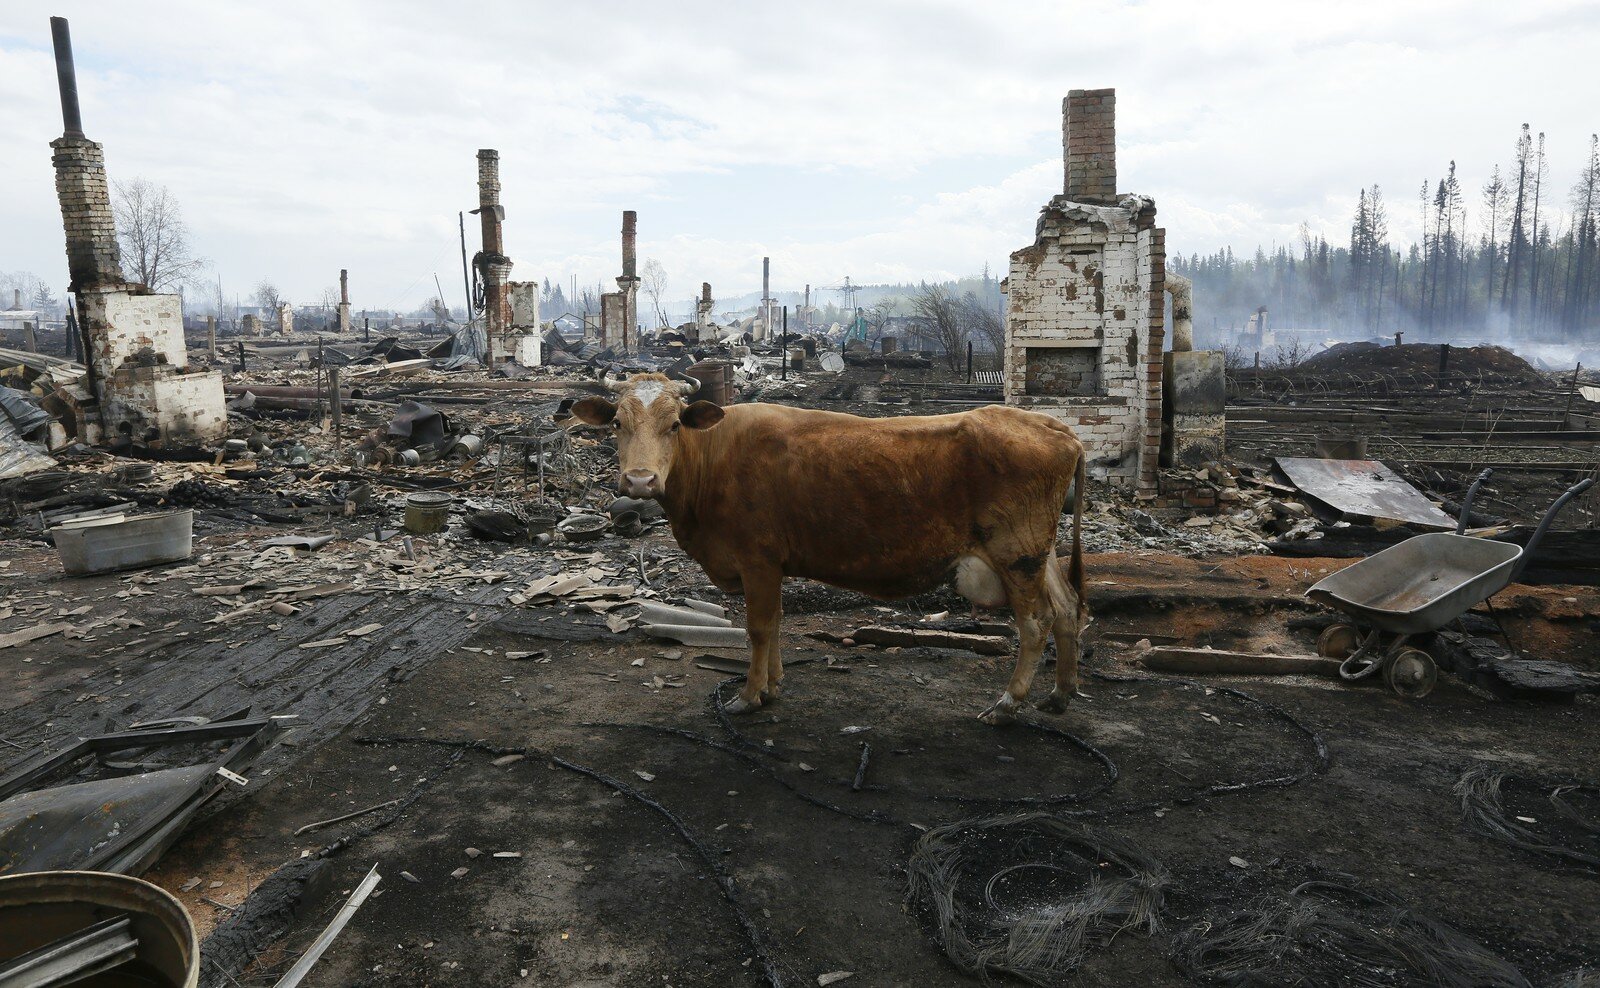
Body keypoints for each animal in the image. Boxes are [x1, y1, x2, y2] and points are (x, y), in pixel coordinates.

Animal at [572, 372, 1088, 719]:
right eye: (617, 423)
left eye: (675, 425)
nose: (640, 480)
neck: (712, 458)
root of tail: (1051, 425)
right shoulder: (771, 565)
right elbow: (777, 623)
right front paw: (773, 685)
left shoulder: (756, 560)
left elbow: (758, 627)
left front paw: (749, 695)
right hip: (1040, 551)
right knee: (1067, 609)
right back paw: (1059, 694)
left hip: (1016, 552)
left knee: (1036, 623)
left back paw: (1008, 703)